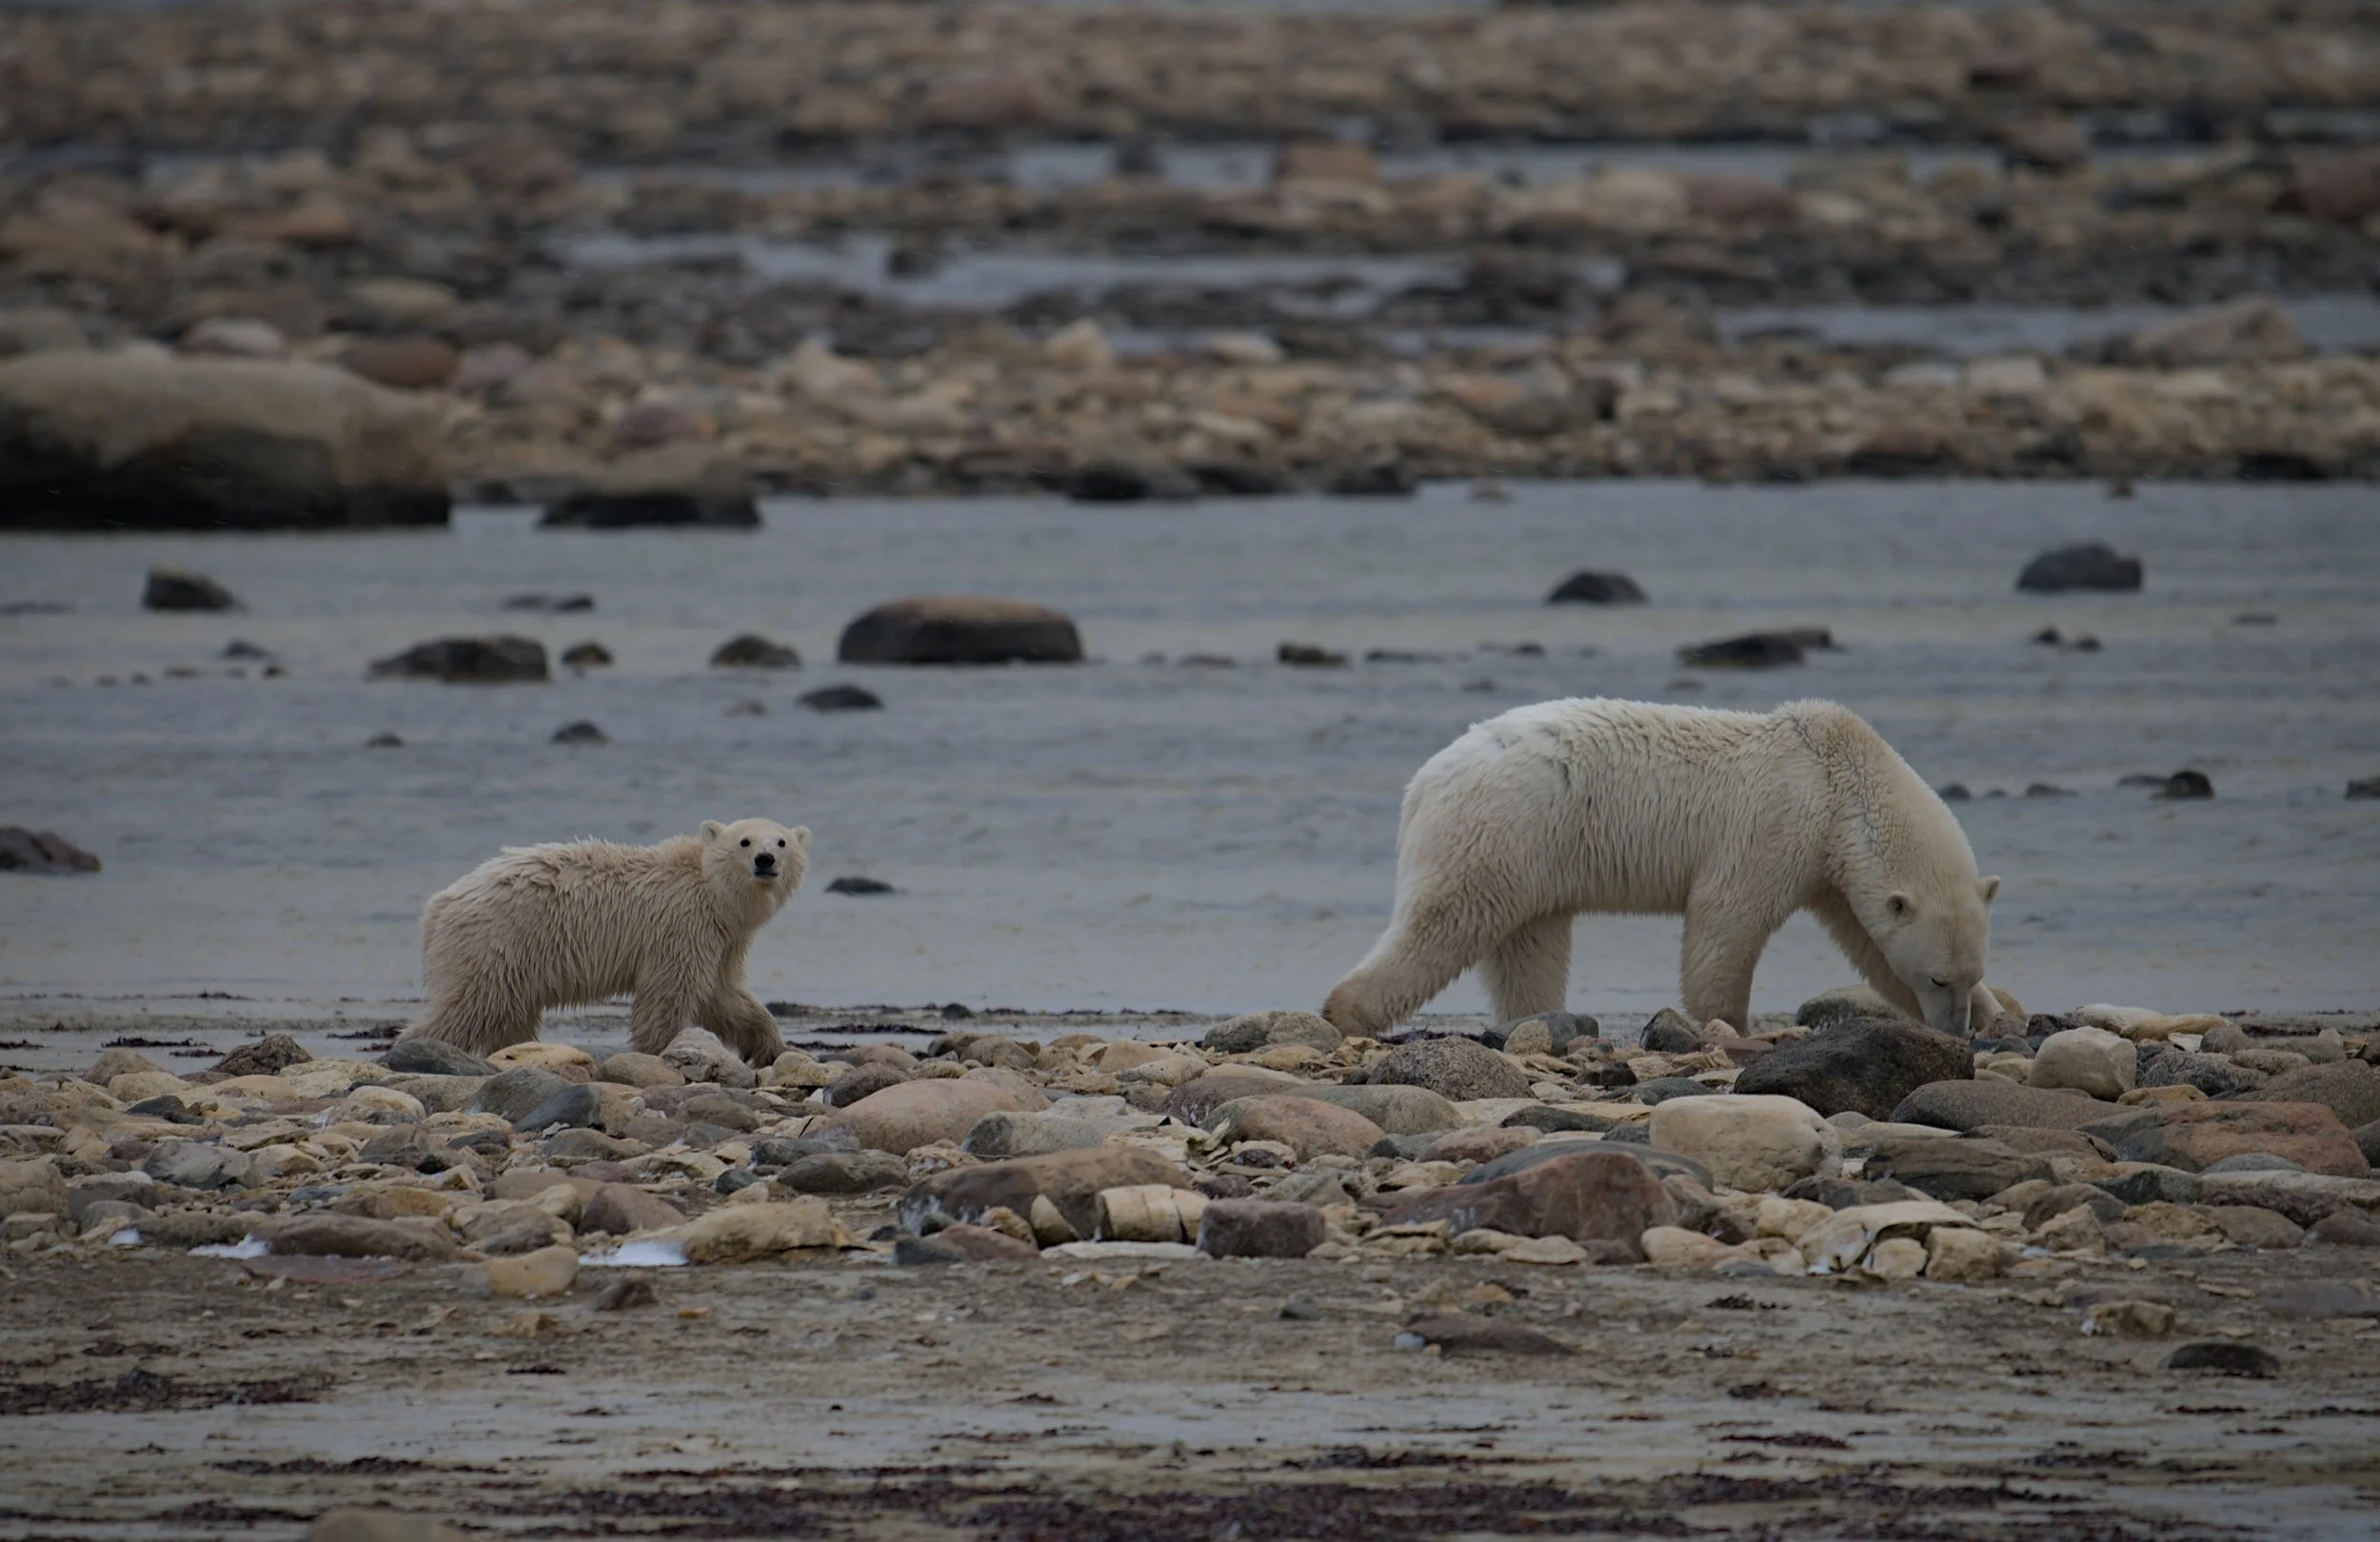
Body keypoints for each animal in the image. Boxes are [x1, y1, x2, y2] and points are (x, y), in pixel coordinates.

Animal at [401, 818, 809, 1065]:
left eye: (782, 842)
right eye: (744, 841)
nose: (765, 859)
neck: (710, 891)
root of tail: (438, 906)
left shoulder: (723, 940)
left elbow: (722, 995)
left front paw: (770, 1046)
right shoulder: (680, 926)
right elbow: (669, 993)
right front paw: (658, 1051)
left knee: (511, 1014)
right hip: (496, 942)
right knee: (470, 1005)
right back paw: (416, 1049)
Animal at [1322, 698, 2000, 1041]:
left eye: (1968, 976)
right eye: (1939, 979)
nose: (1956, 1030)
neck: (1839, 775)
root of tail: (1423, 782)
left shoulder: (1830, 865)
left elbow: (1869, 944)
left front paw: (1999, 1017)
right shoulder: (1776, 825)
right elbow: (1726, 917)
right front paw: (1729, 1024)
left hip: (1534, 854)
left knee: (1529, 942)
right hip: (1503, 825)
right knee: (1447, 922)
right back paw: (1348, 1012)